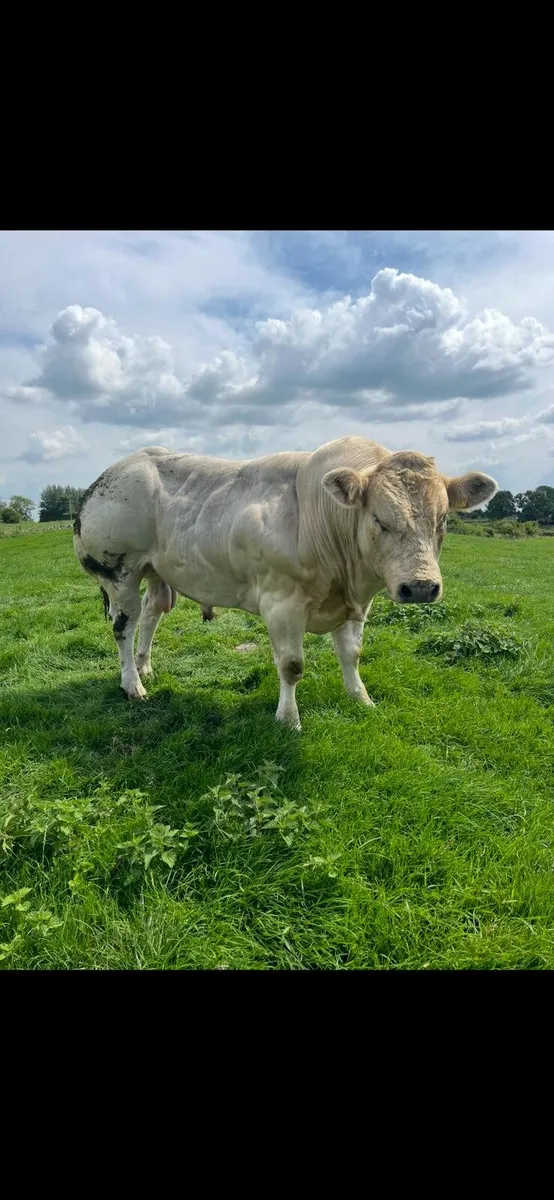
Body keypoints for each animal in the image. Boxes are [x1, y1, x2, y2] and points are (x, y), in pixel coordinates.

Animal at [73, 436, 497, 731]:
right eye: (379, 519)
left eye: (443, 519)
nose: (421, 587)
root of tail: (111, 473)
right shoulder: (281, 604)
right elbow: (292, 666)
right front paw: (289, 719)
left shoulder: (354, 605)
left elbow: (352, 655)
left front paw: (360, 699)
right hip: (119, 574)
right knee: (123, 627)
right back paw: (132, 685)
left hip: (157, 572)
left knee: (151, 615)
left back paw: (145, 666)